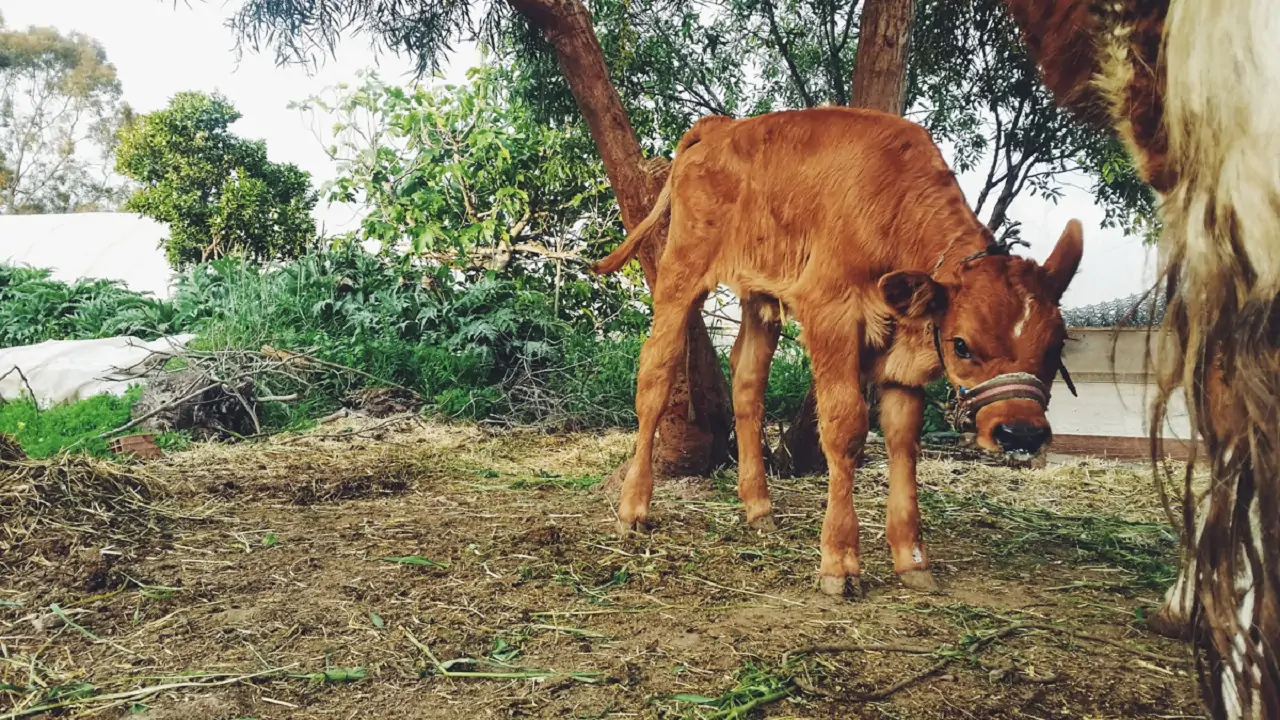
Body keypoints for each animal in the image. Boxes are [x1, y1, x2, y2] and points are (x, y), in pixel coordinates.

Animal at [596, 109, 1080, 594]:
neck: (895, 206)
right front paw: (840, 561)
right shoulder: (831, 314)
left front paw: (911, 558)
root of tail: (721, 126)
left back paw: (758, 507)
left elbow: (903, 441)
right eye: (961, 344)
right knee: (655, 376)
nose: (1021, 434)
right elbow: (845, 429)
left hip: (759, 294)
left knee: (747, 381)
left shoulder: (903, 359)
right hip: (681, 272)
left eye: (1056, 345)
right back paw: (633, 508)